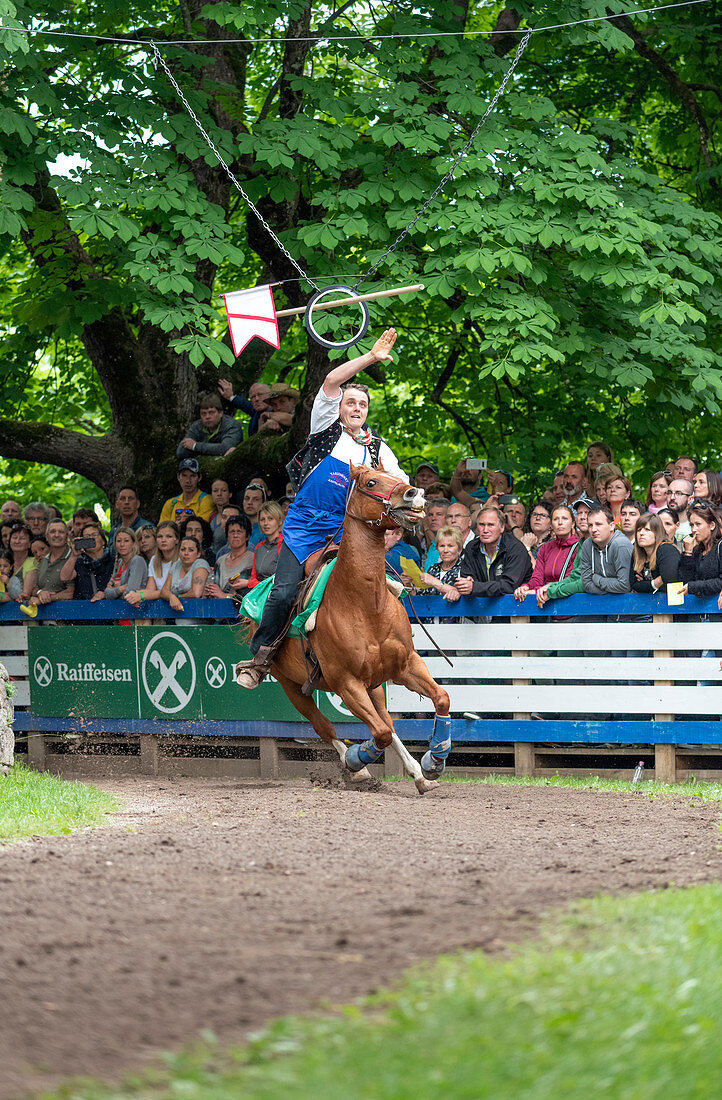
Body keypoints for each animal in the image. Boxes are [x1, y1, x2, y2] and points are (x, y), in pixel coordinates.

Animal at [236, 462, 451, 792]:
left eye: (398, 476)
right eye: (372, 481)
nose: (414, 493)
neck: (365, 605)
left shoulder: (406, 665)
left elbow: (439, 699)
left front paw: (435, 760)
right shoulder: (346, 683)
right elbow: (379, 734)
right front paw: (355, 760)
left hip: (374, 686)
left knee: (386, 722)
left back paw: (417, 773)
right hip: (291, 685)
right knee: (326, 726)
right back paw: (358, 769)